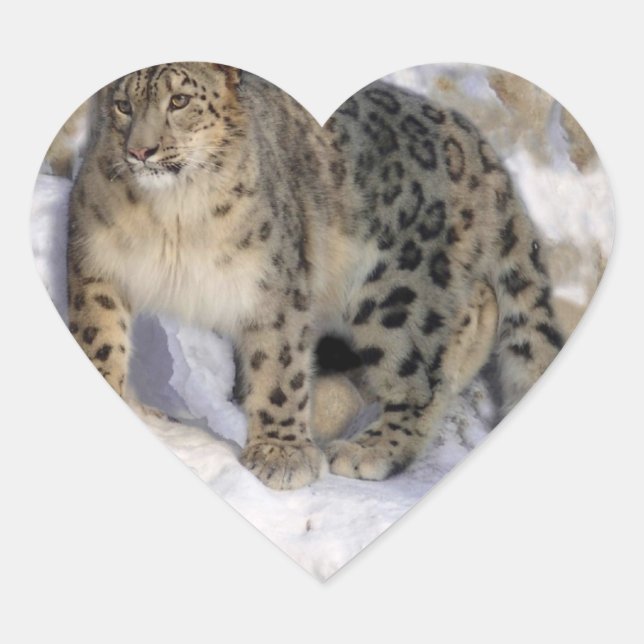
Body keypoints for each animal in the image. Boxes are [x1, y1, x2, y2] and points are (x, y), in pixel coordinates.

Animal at [65, 62, 564, 490]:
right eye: (123, 105)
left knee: (419, 374)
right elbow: (99, 336)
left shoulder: (274, 283)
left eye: (180, 100)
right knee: (477, 307)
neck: (172, 218)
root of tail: (482, 150)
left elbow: (279, 365)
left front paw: (281, 455)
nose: (139, 150)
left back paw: (370, 450)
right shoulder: (95, 261)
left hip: (399, 294)